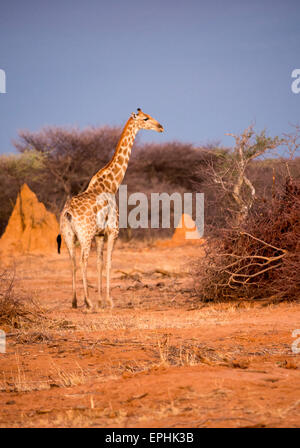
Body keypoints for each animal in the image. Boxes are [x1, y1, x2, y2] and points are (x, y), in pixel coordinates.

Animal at [59, 109, 164, 312]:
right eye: (145, 118)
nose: (161, 127)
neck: (111, 185)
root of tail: (68, 213)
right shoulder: (112, 231)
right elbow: (108, 262)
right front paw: (108, 301)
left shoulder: (100, 234)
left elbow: (100, 263)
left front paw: (101, 301)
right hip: (85, 235)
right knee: (83, 261)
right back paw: (88, 302)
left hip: (69, 235)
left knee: (73, 261)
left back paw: (75, 302)